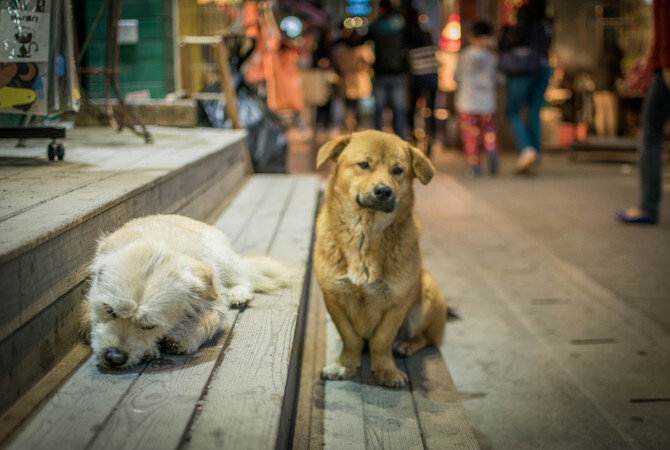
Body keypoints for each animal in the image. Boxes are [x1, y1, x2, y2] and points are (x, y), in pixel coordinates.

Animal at [83, 214, 288, 370]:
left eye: (150, 326)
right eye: (109, 310)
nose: (114, 357)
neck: (158, 249)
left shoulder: (215, 302)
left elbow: (210, 320)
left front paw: (182, 338)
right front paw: (149, 349)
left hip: (224, 260)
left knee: (243, 277)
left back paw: (238, 294)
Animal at [314, 130, 446, 386]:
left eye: (398, 170)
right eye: (364, 164)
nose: (384, 191)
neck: (365, 232)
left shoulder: (396, 304)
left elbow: (381, 341)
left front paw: (386, 371)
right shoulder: (334, 298)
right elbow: (351, 338)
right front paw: (345, 365)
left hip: (429, 290)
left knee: (428, 339)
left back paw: (406, 344)